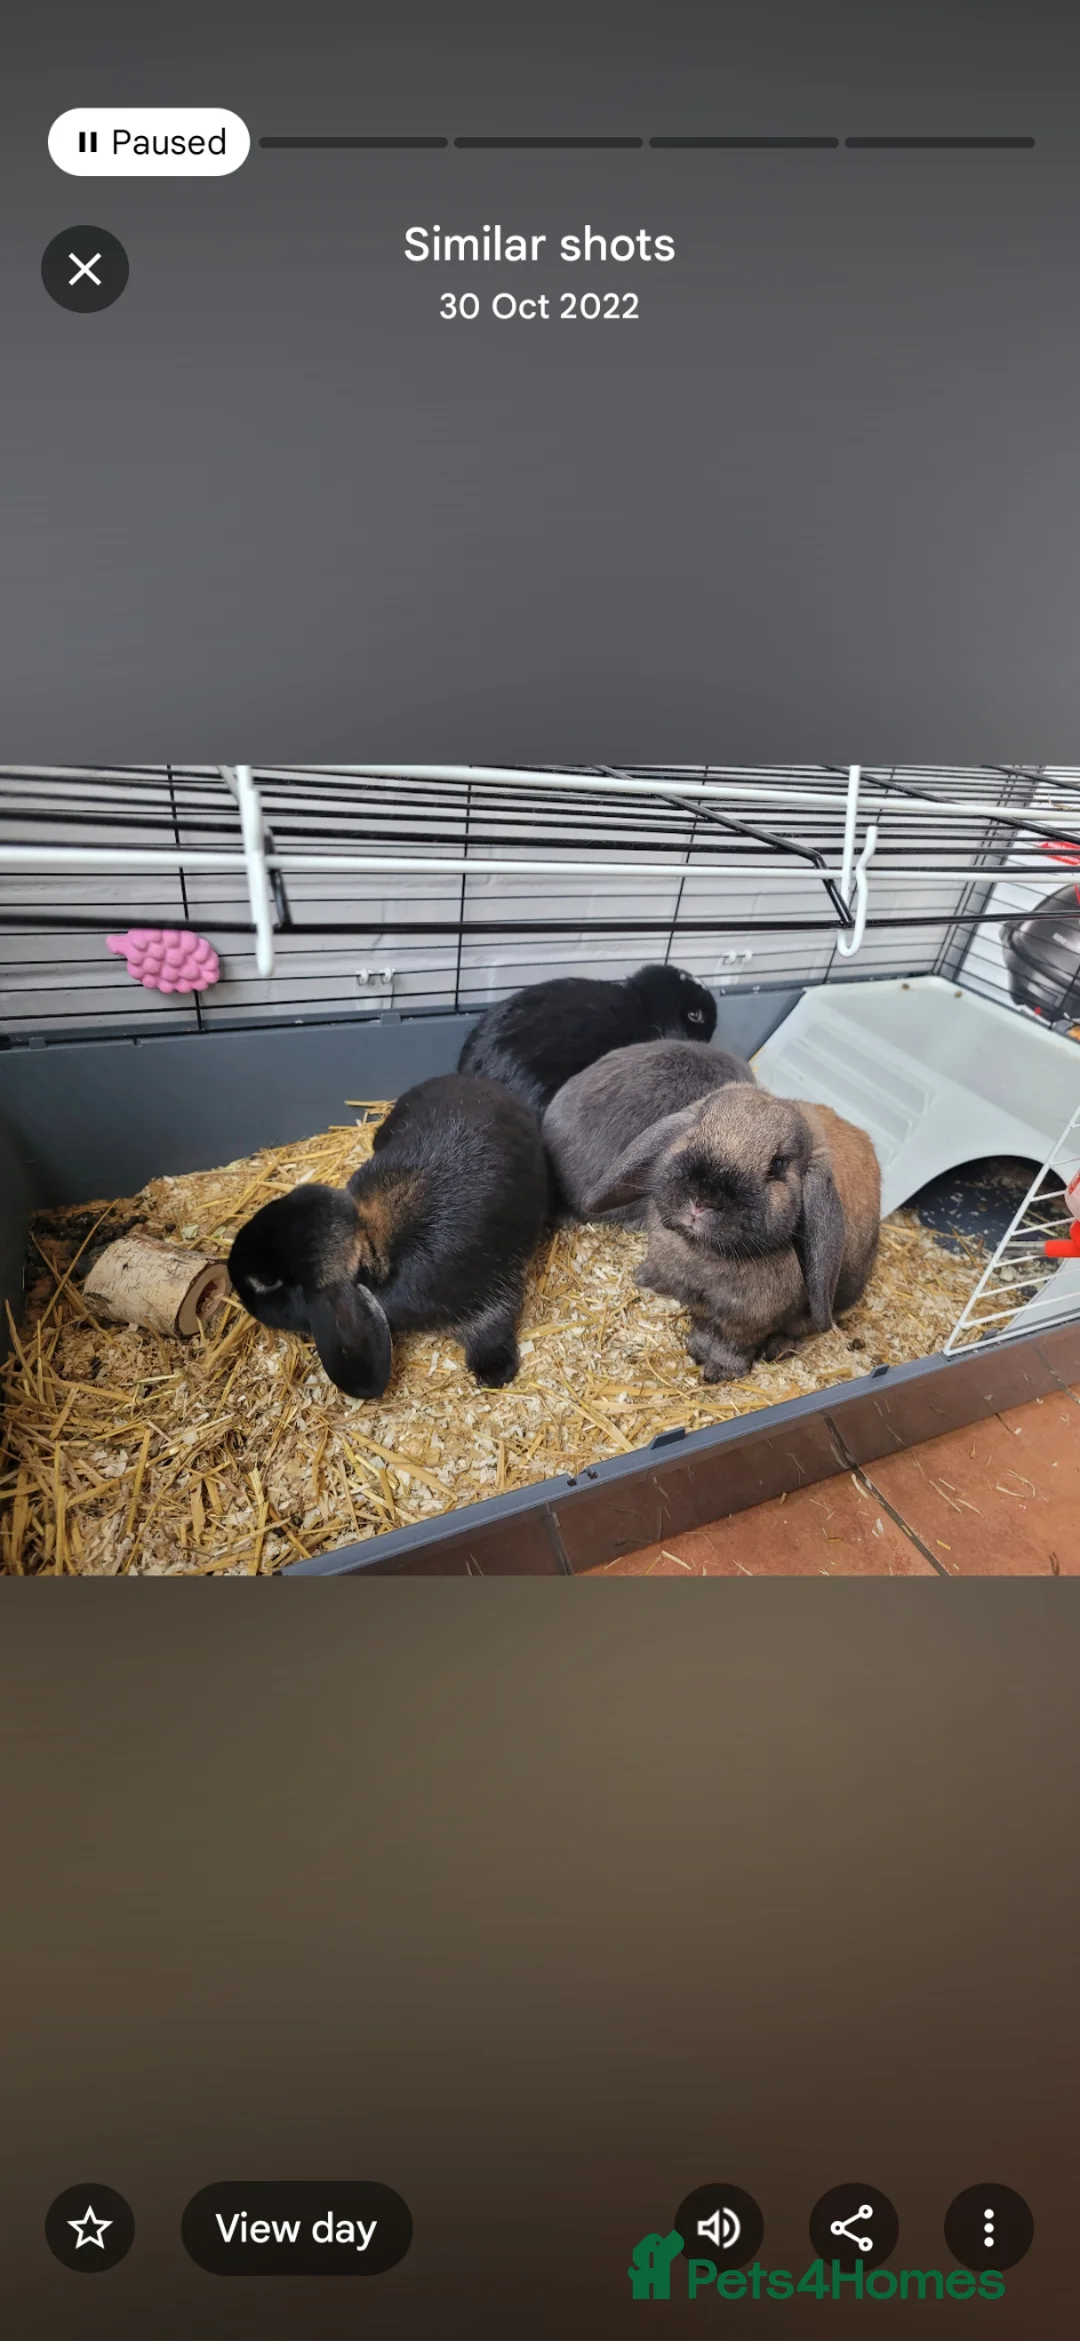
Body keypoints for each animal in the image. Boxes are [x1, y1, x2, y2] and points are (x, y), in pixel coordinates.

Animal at [582, 1083, 881, 1383]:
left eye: (777, 1165)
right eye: (695, 1129)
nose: (701, 1200)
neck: (703, 1254)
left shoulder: (748, 1321)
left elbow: (731, 1344)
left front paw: (718, 1371)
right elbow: (704, 1326)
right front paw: (696, 1348)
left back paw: (779, 1348)